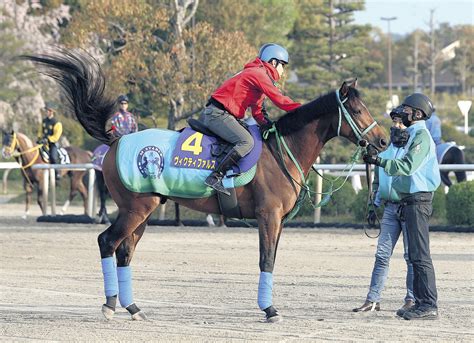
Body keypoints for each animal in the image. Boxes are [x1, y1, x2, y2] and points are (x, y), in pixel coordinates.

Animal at [20, 49, 386, 324]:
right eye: (357, 109)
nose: (383, 141)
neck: (282, 151)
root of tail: (116, 139)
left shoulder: (278, 220)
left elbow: (271, 259)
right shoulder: (268, 216)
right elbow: (266, 260)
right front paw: (269, 309)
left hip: (142, 211)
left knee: (124, 251)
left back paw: (133, 308)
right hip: (135, 209)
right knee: (107, 242)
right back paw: (110, 304)